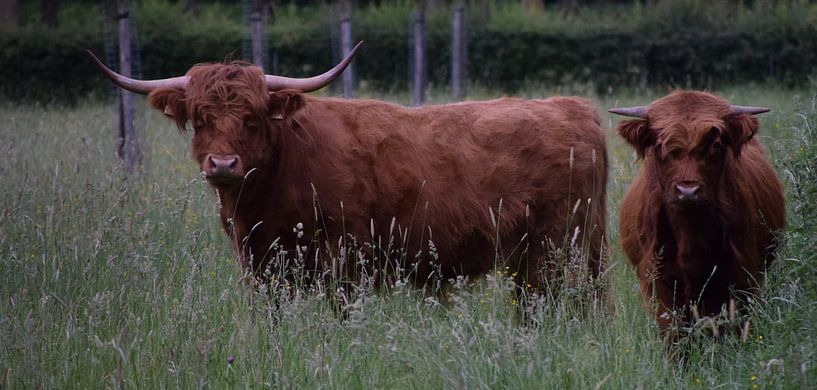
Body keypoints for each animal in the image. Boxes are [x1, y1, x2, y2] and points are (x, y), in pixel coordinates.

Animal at [612, 91, 784, 338]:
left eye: (715, 144)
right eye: (660, 145)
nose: (688, 190)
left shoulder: (743, 276)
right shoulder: (657, 281)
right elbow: (674, 332)